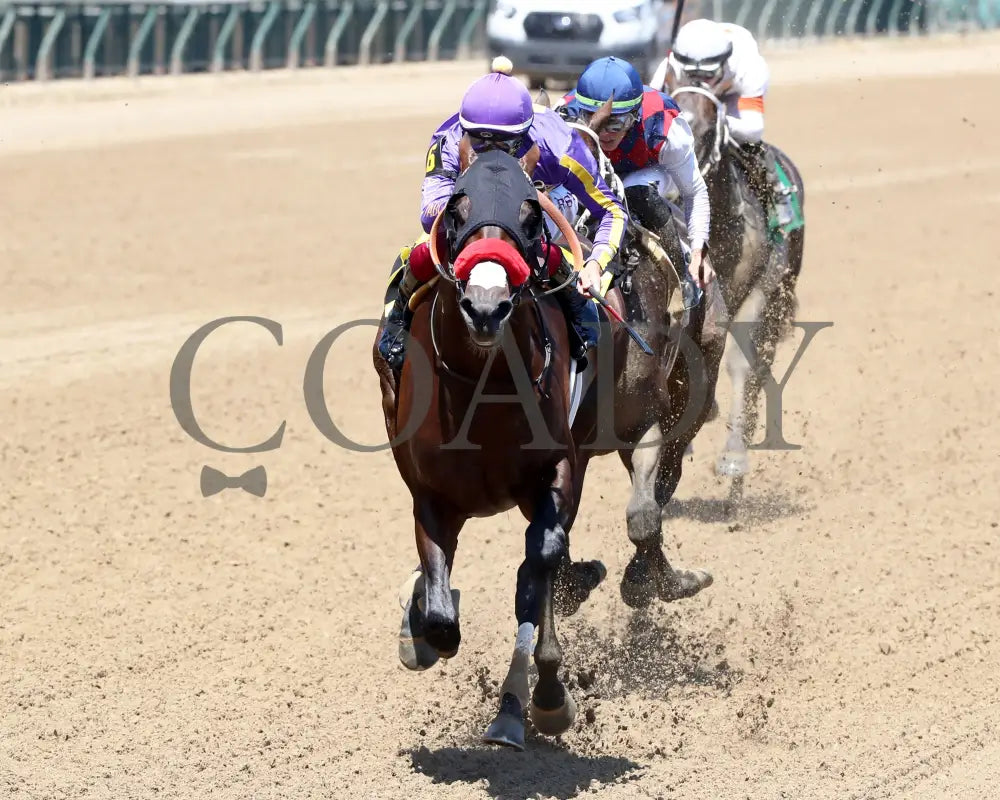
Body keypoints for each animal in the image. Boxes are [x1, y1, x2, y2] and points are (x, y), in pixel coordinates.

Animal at [374, 148, 604, 752]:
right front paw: (421, 631)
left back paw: (522, 706)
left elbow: (539, 564)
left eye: (531, 216)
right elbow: (439, 612)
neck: (484, 387)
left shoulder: (558, 470)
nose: (485, 305)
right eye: (456, 211)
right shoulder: (431, 496)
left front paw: (542, 699)